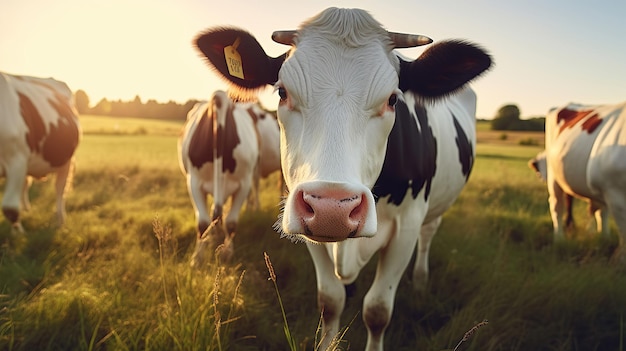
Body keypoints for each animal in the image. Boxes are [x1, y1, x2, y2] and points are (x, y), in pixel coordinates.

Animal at [0, 72, 80, 232]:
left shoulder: (16, 161)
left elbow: (10, 209)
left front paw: (18, 232)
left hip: (66, 161)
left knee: (60, 190)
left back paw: (60, 220)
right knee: (25, 184)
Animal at [179, 91, 280, 264]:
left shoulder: (243, 184)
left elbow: (231, 223)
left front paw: (227, 253)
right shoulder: (193, 183)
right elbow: (203, 223)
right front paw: (197, 258)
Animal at [193, 6, 490, 350]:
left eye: (393, 99)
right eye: (282, 92)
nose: (331, 209)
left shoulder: (407, 227)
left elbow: (377, 310)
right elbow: (329, 301)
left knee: (428, 237)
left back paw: (420, 280)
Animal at [540, 102, 624, 256]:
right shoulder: (615, 194)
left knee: (601, 211)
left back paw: (605, 238)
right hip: (554, 176)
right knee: (557, 206)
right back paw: (559, 240)